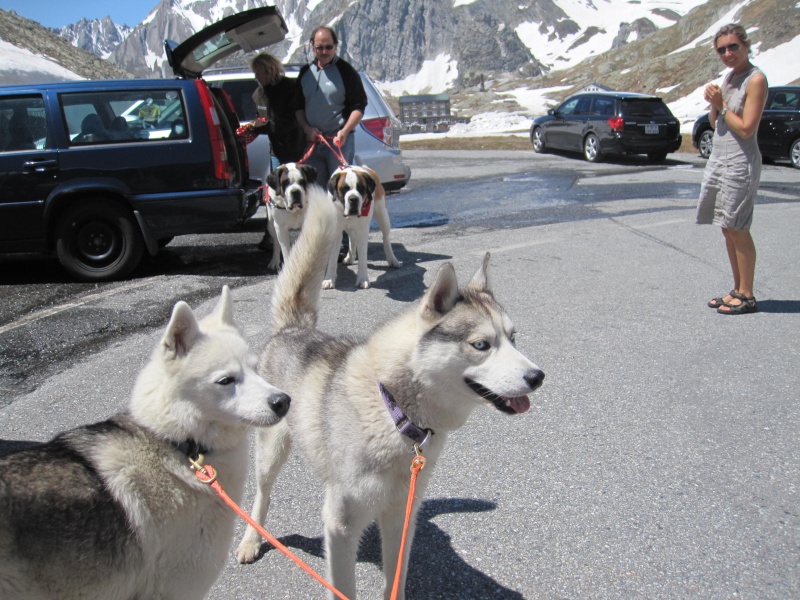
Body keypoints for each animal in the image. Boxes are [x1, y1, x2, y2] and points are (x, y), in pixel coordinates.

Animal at [236, 190, 544, 596]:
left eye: (513, 338)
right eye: (481, 345)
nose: (538, 377)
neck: (394, 410)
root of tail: (294, 328)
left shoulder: (401, 516)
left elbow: (393, 581)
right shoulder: (340, 525)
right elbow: (343, 587)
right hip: (271, 452)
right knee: (262, 495)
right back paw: (251, 540)